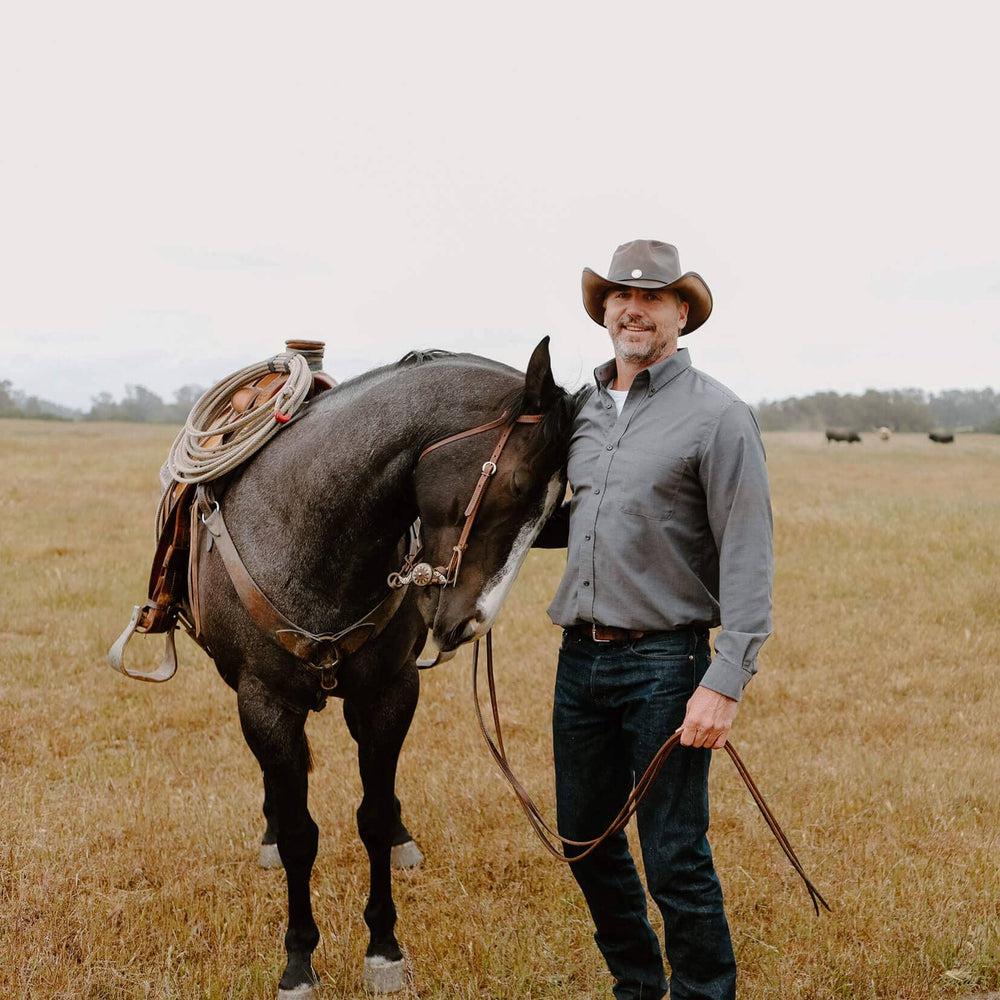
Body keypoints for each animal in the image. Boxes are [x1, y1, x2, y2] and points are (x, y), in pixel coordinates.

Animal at [192, 340, 576, 996]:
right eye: (518, 484)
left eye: (555, 520)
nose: (470, 622)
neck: (312, 534)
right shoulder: (263, 702)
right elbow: (299, 834)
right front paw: (298, 961)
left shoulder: (388, 696)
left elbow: (371, 817)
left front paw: (383, 948)